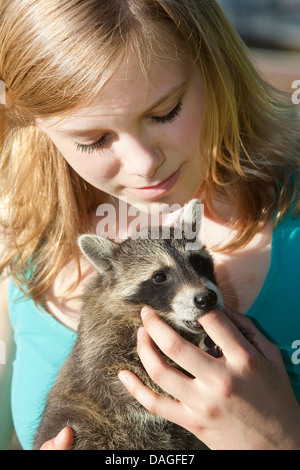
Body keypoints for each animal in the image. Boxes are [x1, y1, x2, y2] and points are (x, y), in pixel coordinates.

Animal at [34, 200, 223, 450]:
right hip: (80, 422)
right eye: (159, 277)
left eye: (199, 262)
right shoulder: (101, 339)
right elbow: (123, 374)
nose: (206, 298)